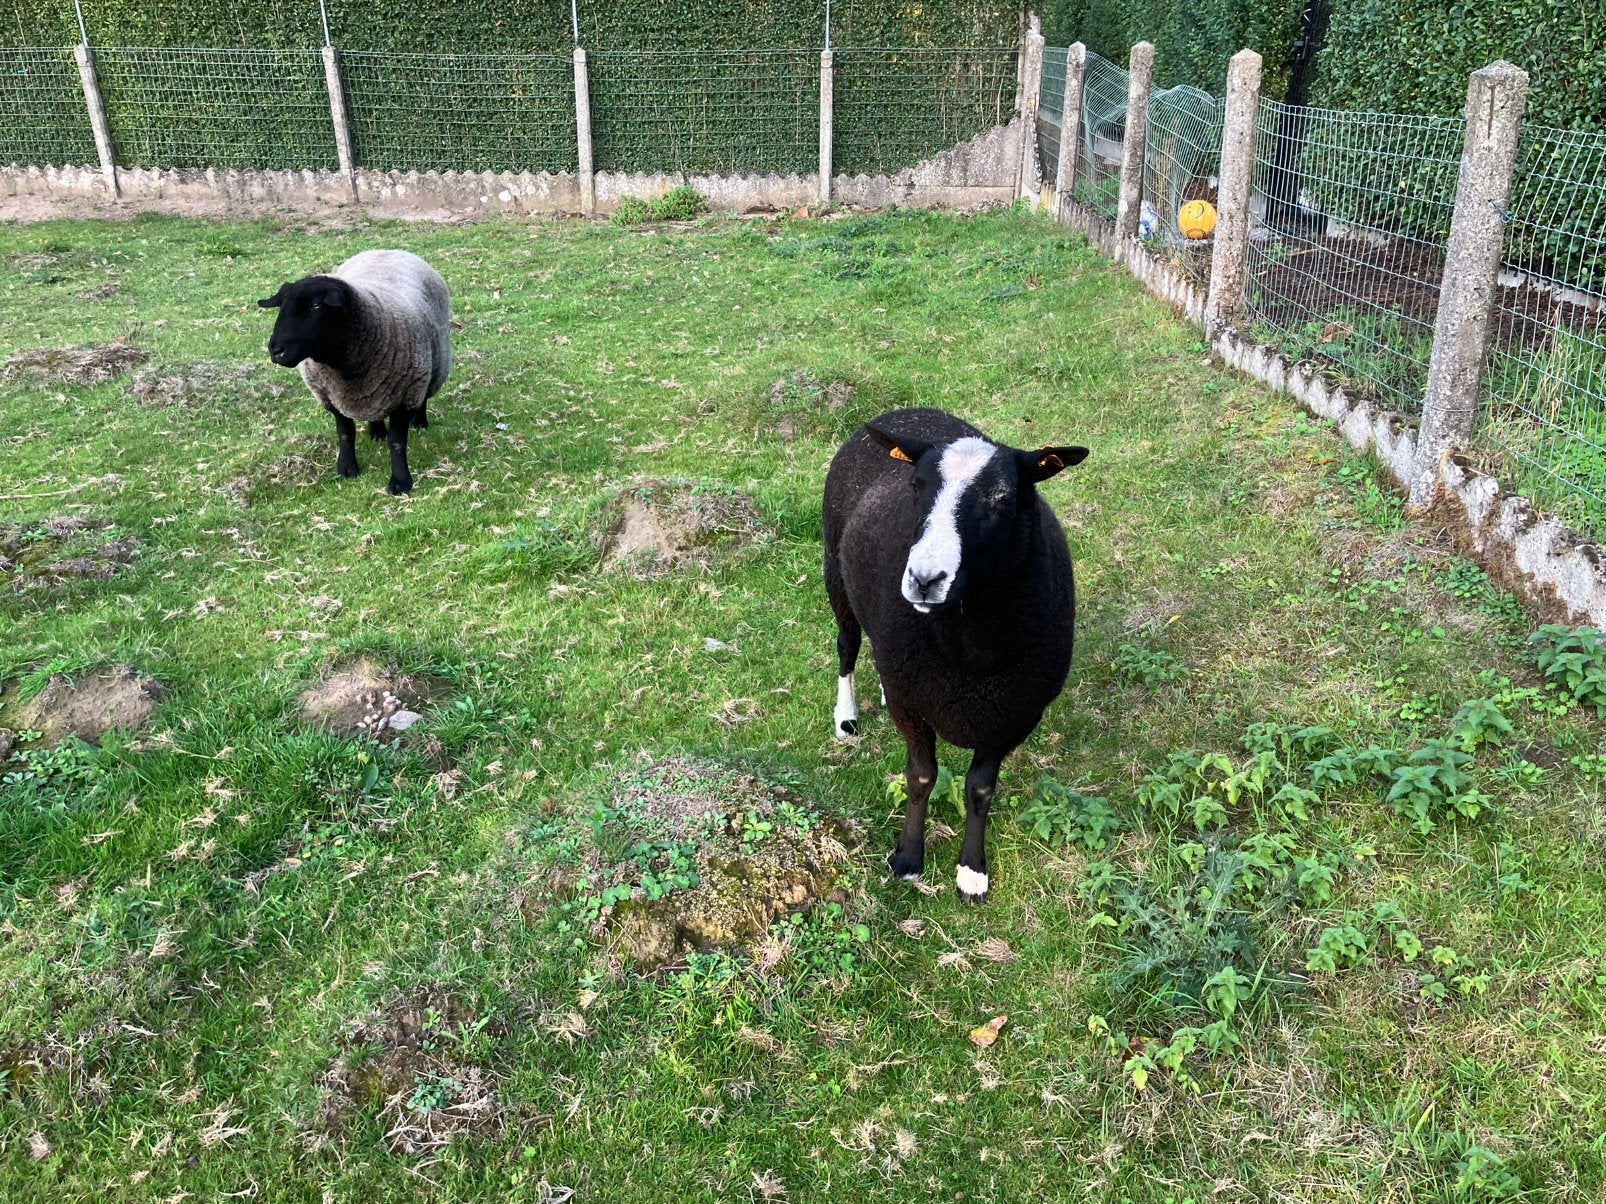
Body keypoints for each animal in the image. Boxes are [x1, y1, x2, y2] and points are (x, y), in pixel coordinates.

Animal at [258, 250, 452, 496]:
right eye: (281, 306)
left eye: (316, 306)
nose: (276, 351)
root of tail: (391, 250)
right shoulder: (332, 397)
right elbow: (345, 433)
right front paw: (347, 468)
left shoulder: (406, 395)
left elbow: (397, 442)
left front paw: (400, 482)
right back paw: (377, 432)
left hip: (432, 366)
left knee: (424, 396)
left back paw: (419, 423)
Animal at [822, 407, 1089, 903]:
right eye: (916, 486)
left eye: (1003, 497)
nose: (925, 580)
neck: (971, 648)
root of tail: (905, 411)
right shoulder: (914, 709)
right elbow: (922, 776)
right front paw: (908, 859)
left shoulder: (1013, 711)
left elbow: (980, 788)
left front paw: (971, 872)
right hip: (835, 572)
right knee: (848, 646)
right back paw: (846, 718)